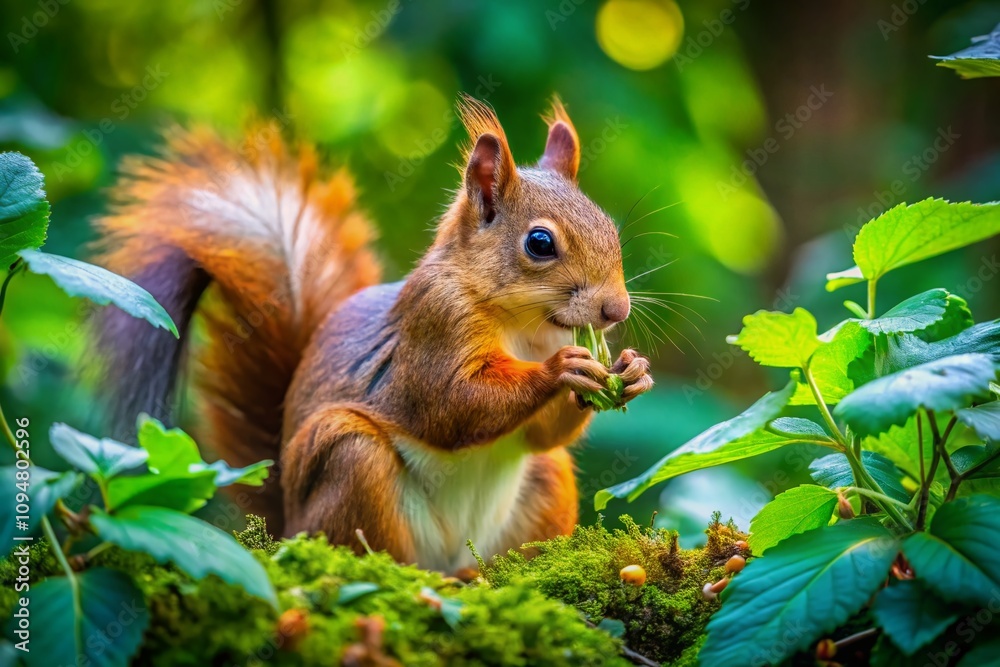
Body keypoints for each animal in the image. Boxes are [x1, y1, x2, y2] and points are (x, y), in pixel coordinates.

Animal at [92, 96, 654, 572]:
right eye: (539, 243)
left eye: (611, 228)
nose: (615, 308)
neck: (524, 325)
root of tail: (289, 528)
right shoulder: (433, 323)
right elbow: (451, 404)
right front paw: (562, 370)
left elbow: (542, 434)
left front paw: (631, 370)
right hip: (350, 461)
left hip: (544, 481)